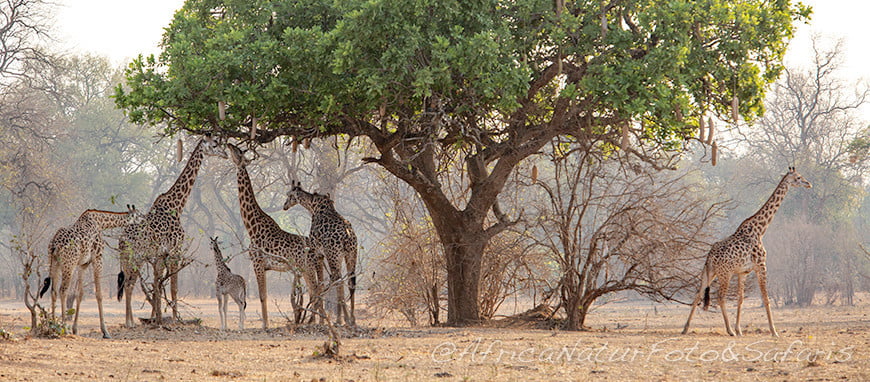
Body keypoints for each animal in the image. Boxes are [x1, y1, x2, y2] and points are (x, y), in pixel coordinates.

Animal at [39, 206, 140, 338]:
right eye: (139, 215)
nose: (143, 221)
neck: (100, 223)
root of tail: (54, 245)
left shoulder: (83, 264)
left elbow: (80, 294)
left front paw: (75, 329)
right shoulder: (97, 258)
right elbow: (99, 294)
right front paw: (105, 331)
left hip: (55, 264)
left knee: (54, 291)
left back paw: (54, 326)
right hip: (69, 264)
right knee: (63, 290)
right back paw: (64, 329)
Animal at [117, 136, 227, 326]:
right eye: (214, 144)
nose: (226, 154)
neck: (177, 206)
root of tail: (122, 239)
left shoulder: (161, 254)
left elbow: (158, 285)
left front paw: (156, 318)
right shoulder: (176, 250)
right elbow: (174, 287)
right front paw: (175, 319)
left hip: (130, 259)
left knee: (128, 284)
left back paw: (129, 321)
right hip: (135, 257)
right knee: (129, 284)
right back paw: (129, 322)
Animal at [227, 143, 326, 328]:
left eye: (238, 152)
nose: (229, 144)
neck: (252, 226)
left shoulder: (257, 263)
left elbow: (262, 296)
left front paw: (265, 325)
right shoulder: (265, 267)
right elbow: (263, 295)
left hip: (307, 266)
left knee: (315, 289)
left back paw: (314, 322)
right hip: (314, 266)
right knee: (318, 288)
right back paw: (320, 321)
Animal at [282, 181, 358, 326]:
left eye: (289, 195)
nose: (284, 206)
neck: (313, 206)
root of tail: (348, 234)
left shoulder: (317, 252)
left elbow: (319, 283)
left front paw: (317, 319)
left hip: (333, 254)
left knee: (337, 279)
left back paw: (340, 319)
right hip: (351, 254)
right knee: (350, 282)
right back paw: (352, 319)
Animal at [684, 167, 816, 338]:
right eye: (799, 177)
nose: (809, 184)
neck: (760, 230)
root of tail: (710, 257)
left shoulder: (743, 272)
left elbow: (740, 299)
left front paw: (739, 329)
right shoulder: (761, 265)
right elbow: (766, 297)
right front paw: (774, 331)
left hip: (709, 272)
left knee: (698, 294)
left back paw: (686, 328)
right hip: (725, 274)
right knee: (720, 297)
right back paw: (729, 330)